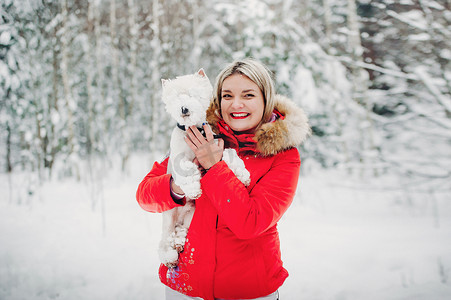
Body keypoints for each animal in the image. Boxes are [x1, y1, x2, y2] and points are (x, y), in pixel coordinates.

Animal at [159, 69, 251, 268]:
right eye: (177, 97)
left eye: (193, 95)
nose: (184, 108)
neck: (194, 130)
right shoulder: (179, 158)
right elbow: (186, 170)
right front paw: (194, 190)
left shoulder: (217, 145)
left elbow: (230, 156)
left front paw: (243, 175)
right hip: (168, 218)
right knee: (165, 240)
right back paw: (169, 256)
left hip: (190, 216)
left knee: (181, 231)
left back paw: (179, 242)